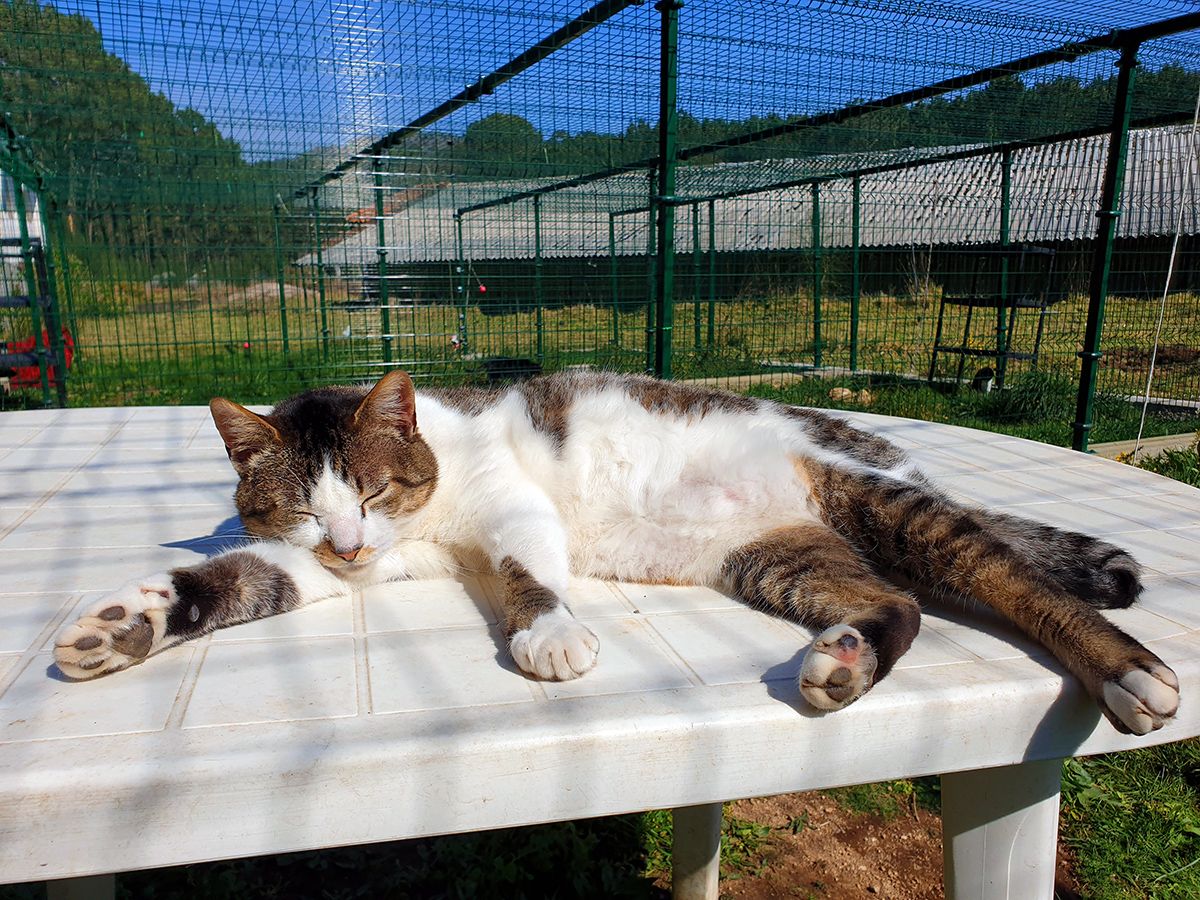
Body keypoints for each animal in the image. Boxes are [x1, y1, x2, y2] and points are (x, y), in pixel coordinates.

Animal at [51, 369, 1176, 734]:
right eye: (301, 506)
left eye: (369, 488)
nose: (350, 538)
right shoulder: (321, 567)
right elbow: (236, 580)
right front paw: (129, 622)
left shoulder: (509, 507)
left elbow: (525, 573)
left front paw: (548, 635)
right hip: (777, 558)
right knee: (894, 604)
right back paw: (848, 660)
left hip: (884, 504)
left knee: (1010, 577)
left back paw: (1129, 671)